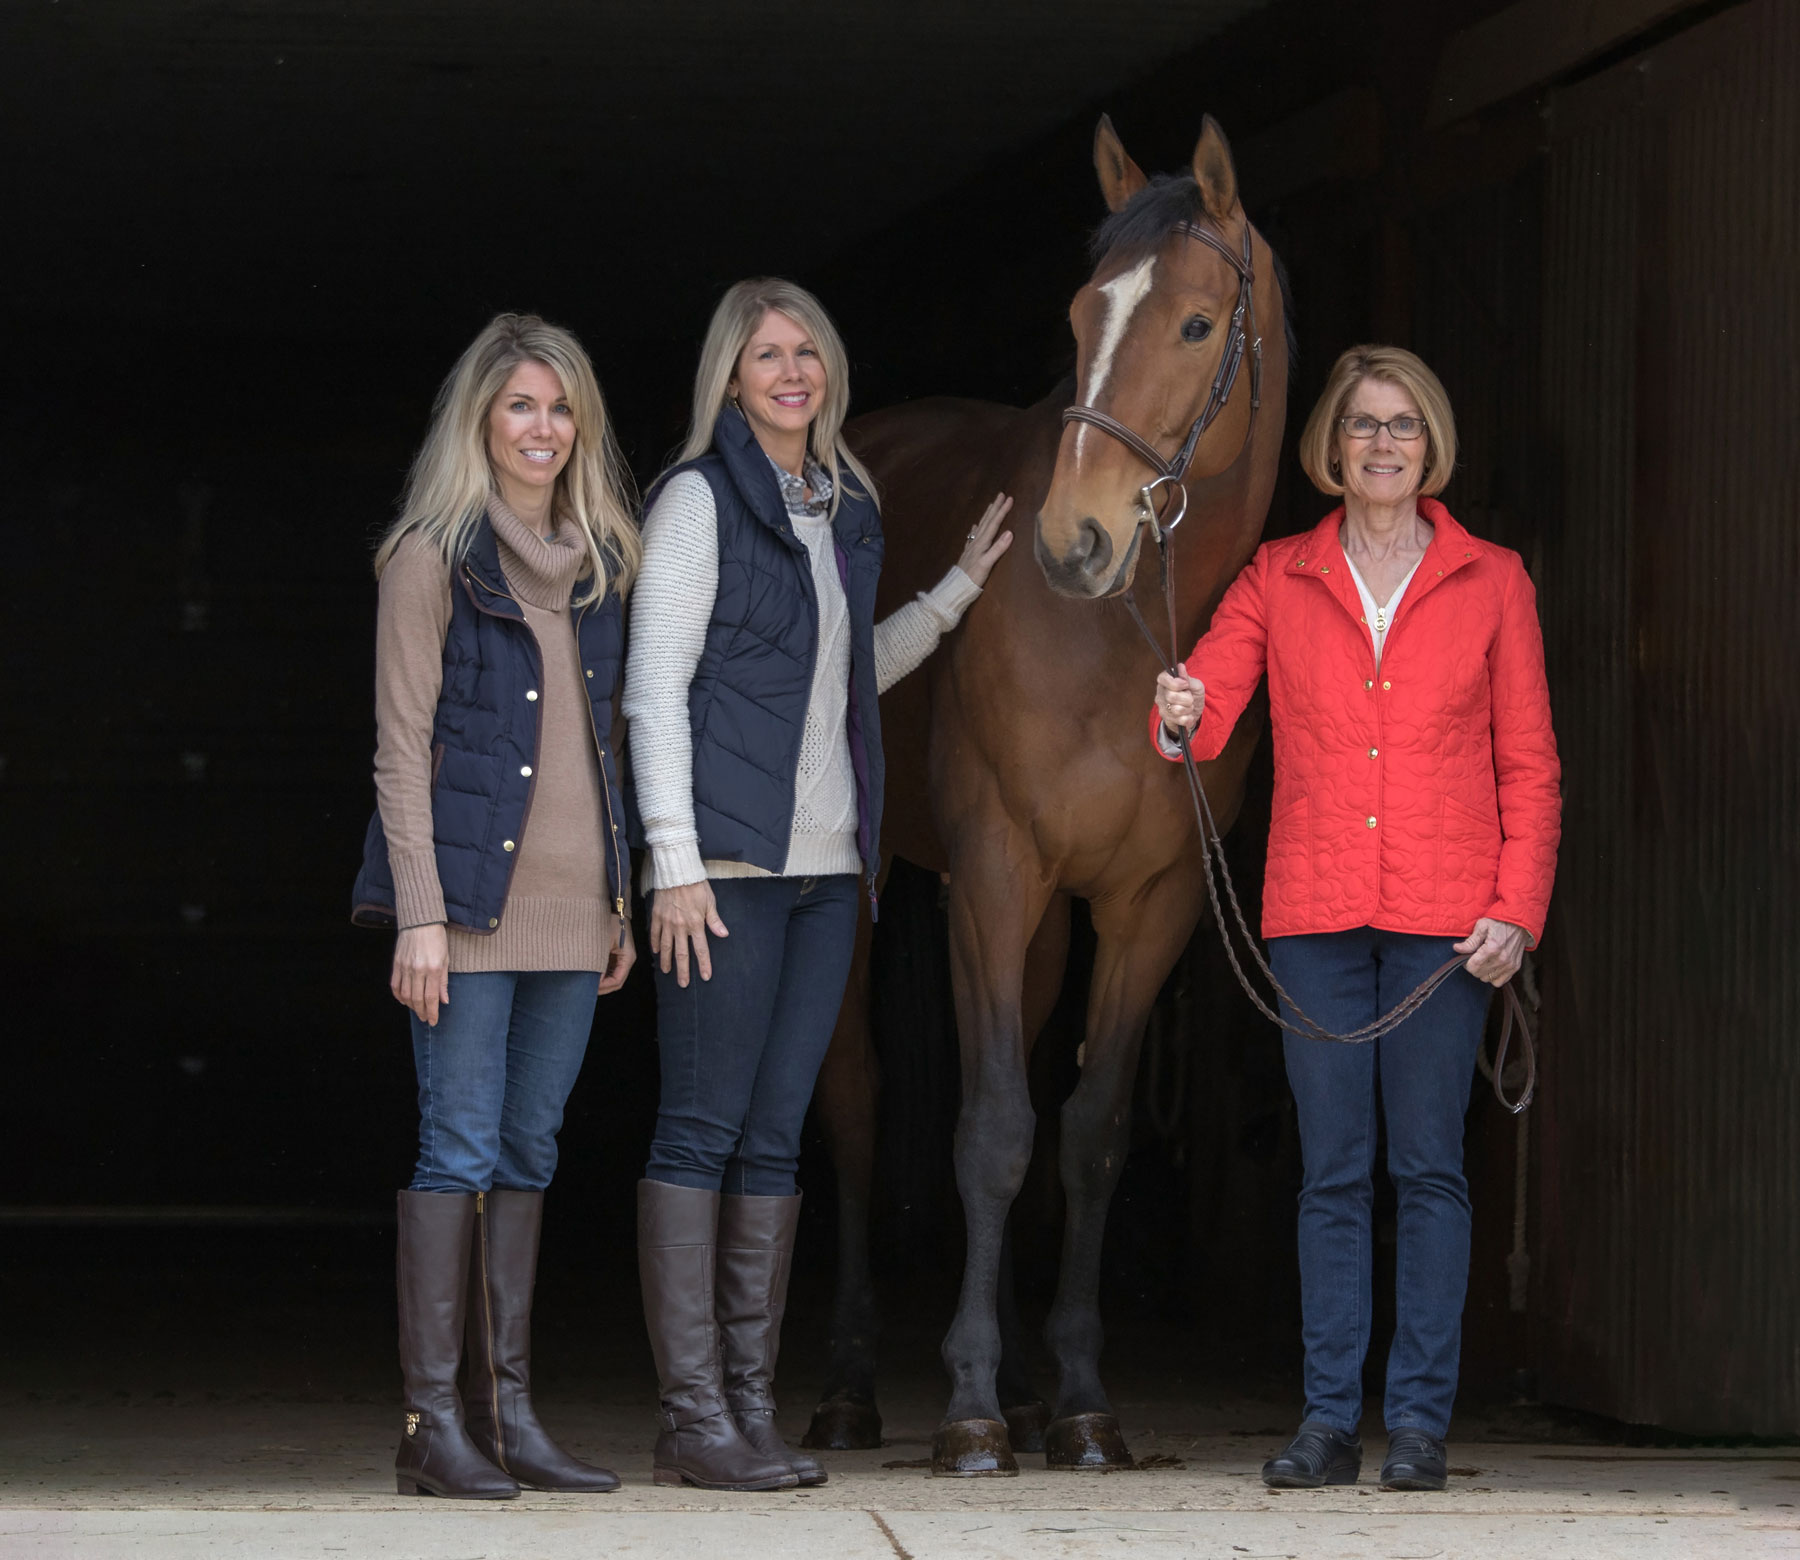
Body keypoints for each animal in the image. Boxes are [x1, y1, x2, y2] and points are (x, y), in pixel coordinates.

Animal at [802, 114, 1291, 1474]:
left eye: (1196, 324)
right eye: (1079, 316)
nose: (1074, 540)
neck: (1121, 637)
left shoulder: (1149, 903)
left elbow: (1087, 1133)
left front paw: (1077, 1397)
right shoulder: (996, 867)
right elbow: (989, 1132)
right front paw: (968, 1407)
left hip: (1048, 923)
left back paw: (1023, 1380)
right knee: (859, 1108)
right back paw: (853, 1384)